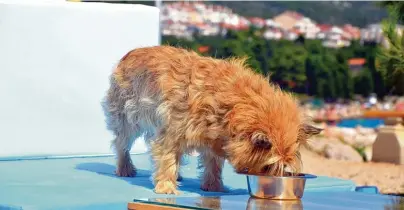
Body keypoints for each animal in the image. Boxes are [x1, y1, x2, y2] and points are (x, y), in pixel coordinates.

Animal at [102, 45, 322, 195]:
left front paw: (214, 186)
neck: (235, 105)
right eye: (268, 167)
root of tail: (129, 54)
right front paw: (165, 187)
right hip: (126, 118)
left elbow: (213, 163)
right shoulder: (171, 133)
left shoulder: (213, 137)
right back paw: (125, 168)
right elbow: (167, 157)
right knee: (121, 144)